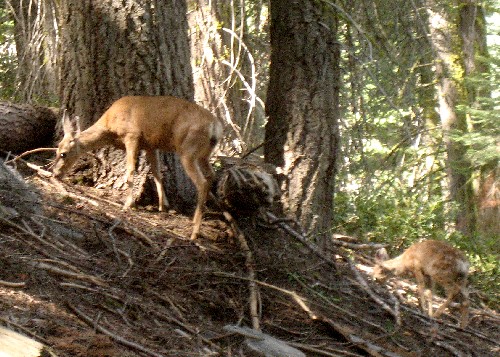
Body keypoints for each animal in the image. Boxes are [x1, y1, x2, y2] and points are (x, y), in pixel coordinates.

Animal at [52, 94, 223, 239]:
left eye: (63, 154)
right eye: (56, 150)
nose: (54, 173)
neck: (109, 126)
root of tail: (215, 126)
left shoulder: (132, 135)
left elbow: (130, 171)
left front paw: (128, 204)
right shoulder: (150, 145)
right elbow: (156, 172)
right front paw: (163, 205)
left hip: (188, 149)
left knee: (202, 182)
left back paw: (194, 232)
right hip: (203, 154)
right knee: (211, 176)